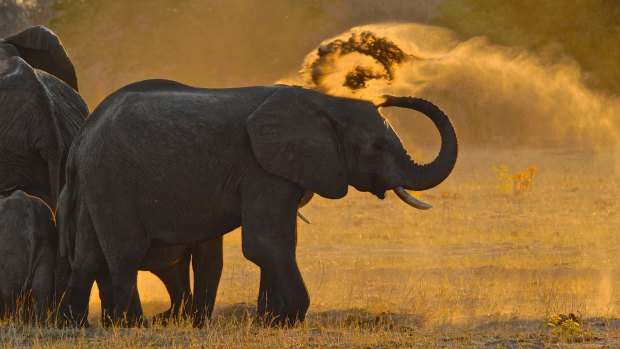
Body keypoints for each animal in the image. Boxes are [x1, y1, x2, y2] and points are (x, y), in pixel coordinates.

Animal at [0, 190, 56, 320]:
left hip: (11, 244)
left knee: (10, 292)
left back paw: (12, 322)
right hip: (48, 240)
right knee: (42, 289)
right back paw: (40, 323)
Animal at [58, 80, 458, 324]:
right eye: (376, 147)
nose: (390, 97)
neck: (324, 102)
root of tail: (81, 138)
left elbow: (280, 241)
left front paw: (269, 319)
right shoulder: (261, 168)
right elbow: (266, 243)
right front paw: (289, 319)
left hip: (97, 183)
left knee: (89, 256)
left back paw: (77, 324)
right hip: (114, 179)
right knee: (124, 255)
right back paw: (133, 325)